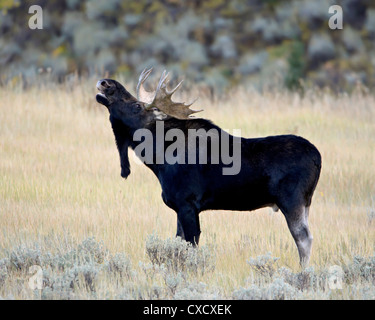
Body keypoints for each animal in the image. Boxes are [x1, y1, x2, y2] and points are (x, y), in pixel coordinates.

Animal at [95, 69, 322, 268]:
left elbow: (191, 245)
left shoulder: (187, 203)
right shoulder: (180, 207)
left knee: (304, 238)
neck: (157, 158)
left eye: (137, 106)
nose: (106, 83)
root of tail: (318, 157)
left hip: (291, 200)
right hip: (306, 203)